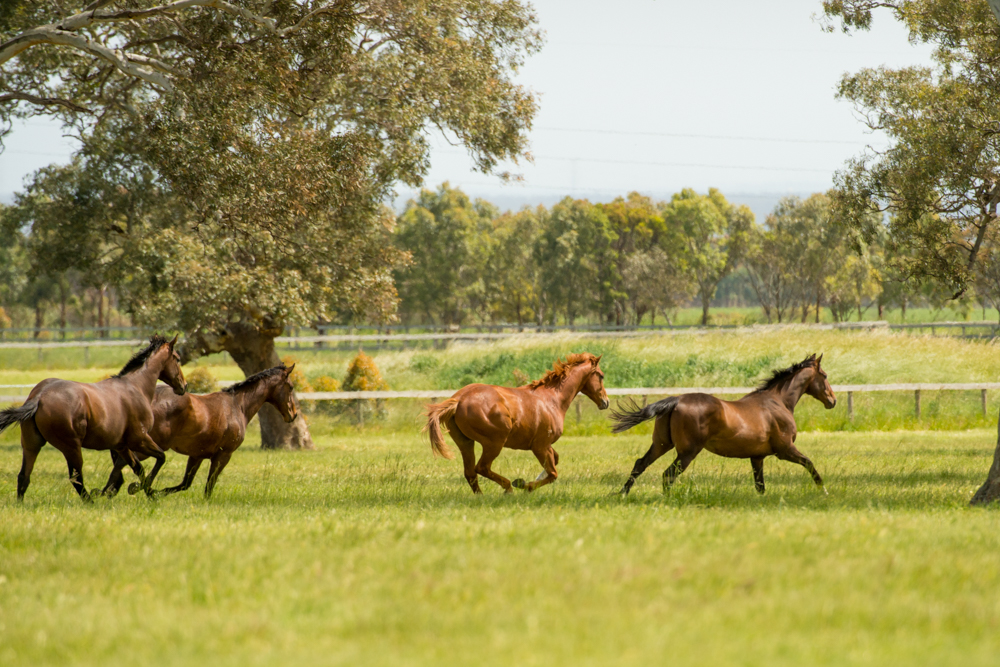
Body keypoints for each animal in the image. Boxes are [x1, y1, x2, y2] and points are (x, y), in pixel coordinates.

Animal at [0, 336, 188, 504]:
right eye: (177, 359)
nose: (184, 386)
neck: (136, 387)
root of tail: (39, 396)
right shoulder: (139, 439)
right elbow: (160, 457)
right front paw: (140, 489)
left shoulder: (121, 445)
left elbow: (137, 468)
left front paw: (149, 494)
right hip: (71, 448)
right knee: (75, 478)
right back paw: (90, 501)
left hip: (32, 445)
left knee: (24, 476)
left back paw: (20, 504)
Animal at [99, 362, 298, 498]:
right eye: (290, 387)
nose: (293, 414)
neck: (237, 406)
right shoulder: (223, 455)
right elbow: (209, 486)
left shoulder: (197, 455)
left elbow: (185, 484)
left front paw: (159, 492)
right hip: (146, 444)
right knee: (124, 462)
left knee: (122, 461)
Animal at [424, 352, 608, 494]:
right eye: (601, 375)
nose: (606, 401)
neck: (551, 399)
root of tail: (459, 400)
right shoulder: (540, 446)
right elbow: (553, 473)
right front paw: (524, 485)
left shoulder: (546, 445)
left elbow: (555, 461)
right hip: (494, 443)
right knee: (481, 467)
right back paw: (508, 488)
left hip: (466, 443)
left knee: (470, 473)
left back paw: (481, 497)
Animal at [608, 354, 836, 496]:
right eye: (824, 375)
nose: (832, 401)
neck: (777, 401)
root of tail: (676, 400)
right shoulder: (785, 449)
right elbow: (810, 464)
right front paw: (824, 491)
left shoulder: (757, 457)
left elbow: (760, 486)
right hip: (687, 452)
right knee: (667, 475)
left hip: (661, 445)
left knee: (640, 464)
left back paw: (622, 494)